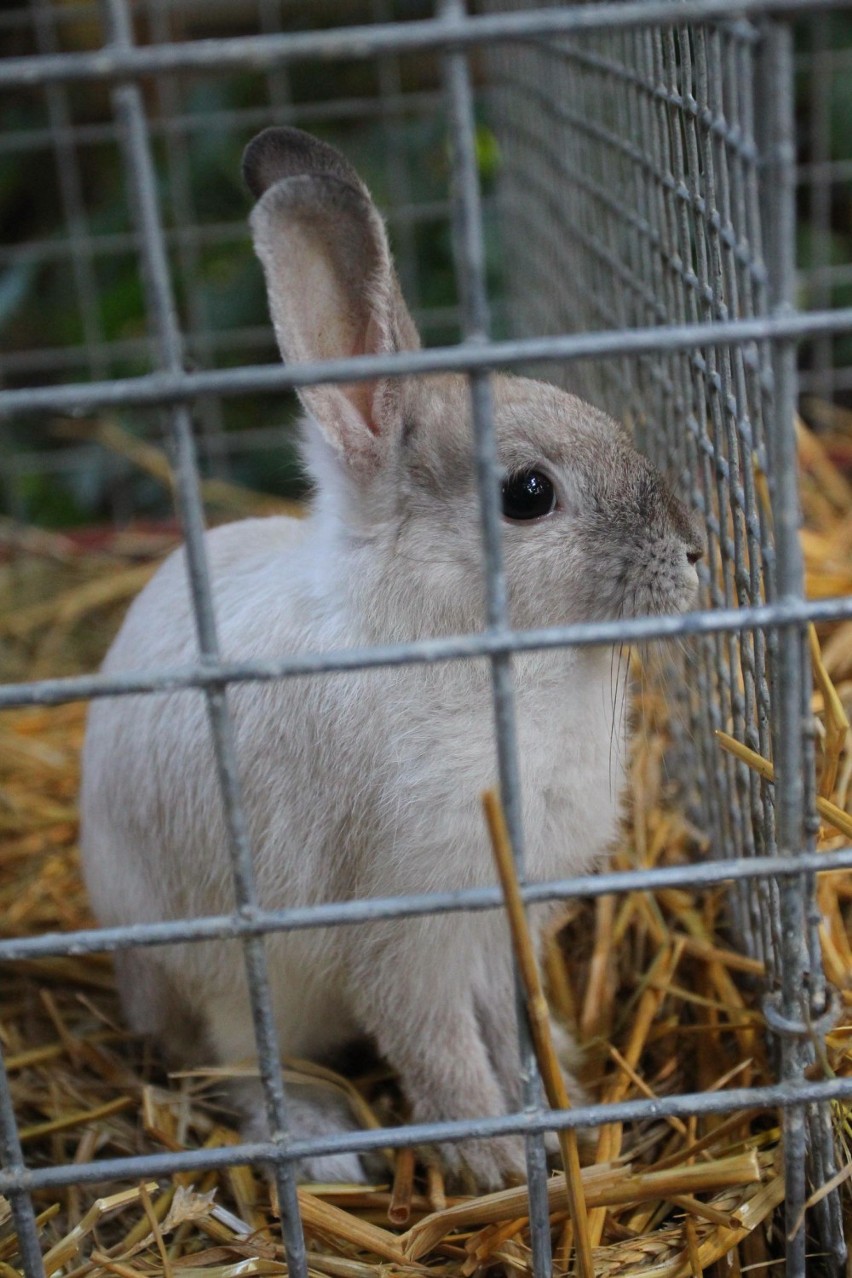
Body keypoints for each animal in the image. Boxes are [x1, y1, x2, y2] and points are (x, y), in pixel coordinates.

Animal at [81, 124, 705, 1191]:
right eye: (528, 493)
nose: (698, 556)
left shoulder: (498, 931)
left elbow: (503, 1025)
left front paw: (555, 1096)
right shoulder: (405, 923)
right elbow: (439, 1048)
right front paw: (496, 1160)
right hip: (224, 972)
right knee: (231, 1062)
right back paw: (326, 1147)